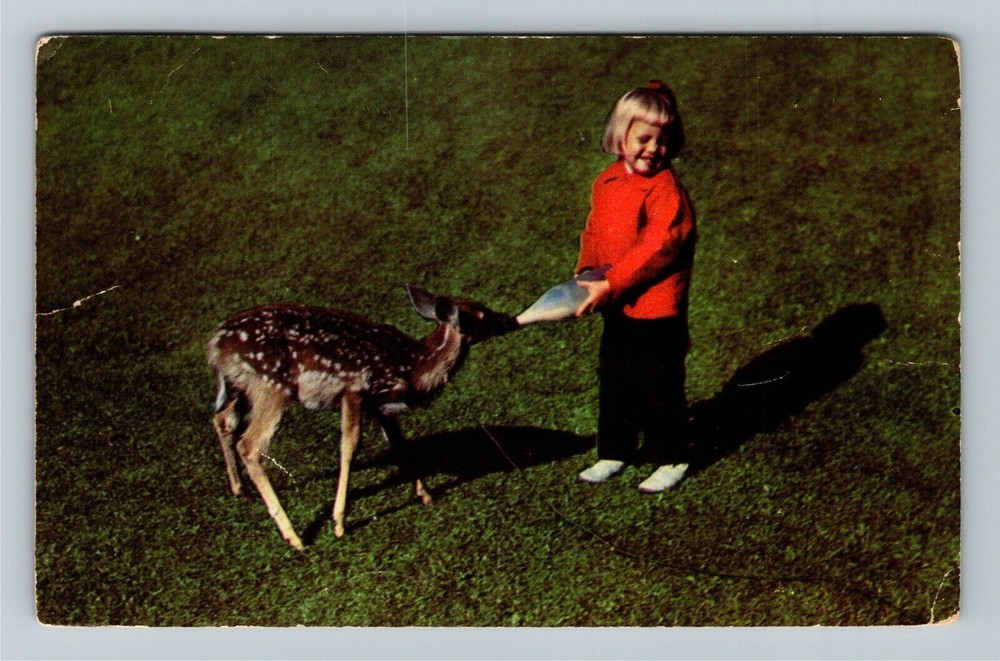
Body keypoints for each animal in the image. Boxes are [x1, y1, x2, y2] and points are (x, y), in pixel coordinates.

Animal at [206, 284, 519, 550]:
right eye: (482, 313)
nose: (510, 320)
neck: (414, 366)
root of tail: (215, 346)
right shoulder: (355, 390)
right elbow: (350, 446)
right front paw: (339, 523)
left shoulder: (380, 404)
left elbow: (399, 444)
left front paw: (425, 494)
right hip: (272, 387)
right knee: (250, 445)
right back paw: (294, 537)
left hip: (242, 388)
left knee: (222, 420)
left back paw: (240, 490)